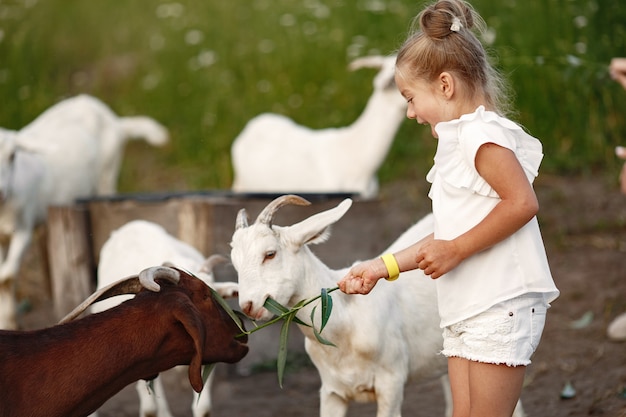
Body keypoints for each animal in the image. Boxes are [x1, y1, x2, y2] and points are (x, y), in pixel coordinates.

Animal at [0, 94, 168, 328]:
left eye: (12, 156)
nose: (0, 192)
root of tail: (115, 119)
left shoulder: (23, 227)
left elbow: (6, 277)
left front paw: (9, 323)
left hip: (107, 173)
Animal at [228, 195, 520, 416]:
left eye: (270, 254)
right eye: (235, 262)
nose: (249, 305)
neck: (344, 323)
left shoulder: (391, 384)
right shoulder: (332, 392)